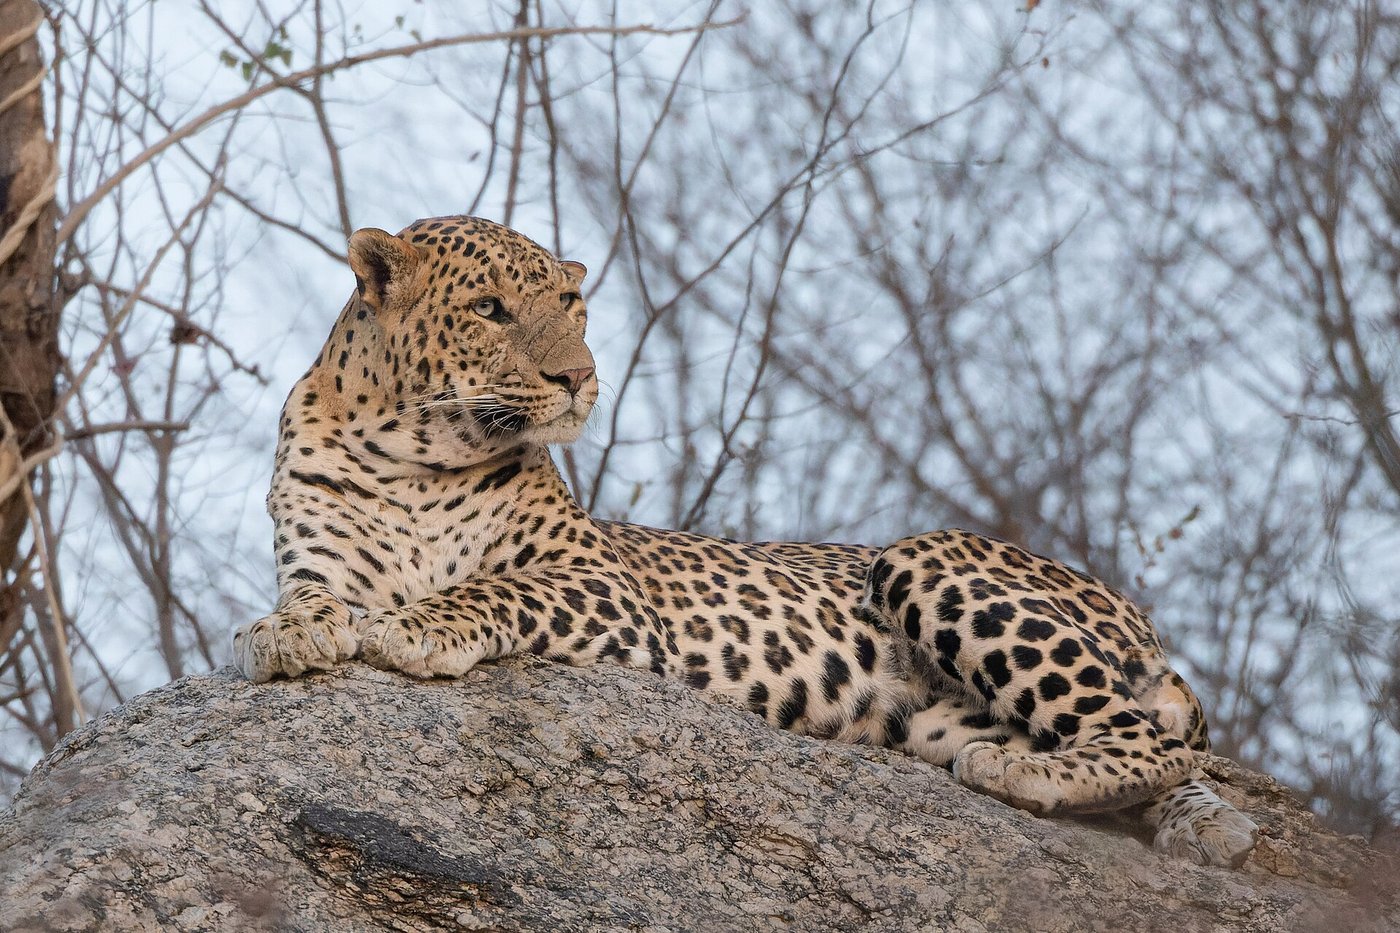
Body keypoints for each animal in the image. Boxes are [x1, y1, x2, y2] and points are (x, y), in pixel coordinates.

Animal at [232, 214, 1259, 869]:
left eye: (573, 305)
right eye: (488, 308)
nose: (579, 378)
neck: (411, 451)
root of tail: (1133, 610)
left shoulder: (600, 581)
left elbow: (492, 588)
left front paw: (419, 625)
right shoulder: (320, 556)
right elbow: (308, 597)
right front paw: (285, 633)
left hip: (923, 559)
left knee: (1144, 738)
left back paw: (1029, 774)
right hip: (935, 712)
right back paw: (1187, 820)